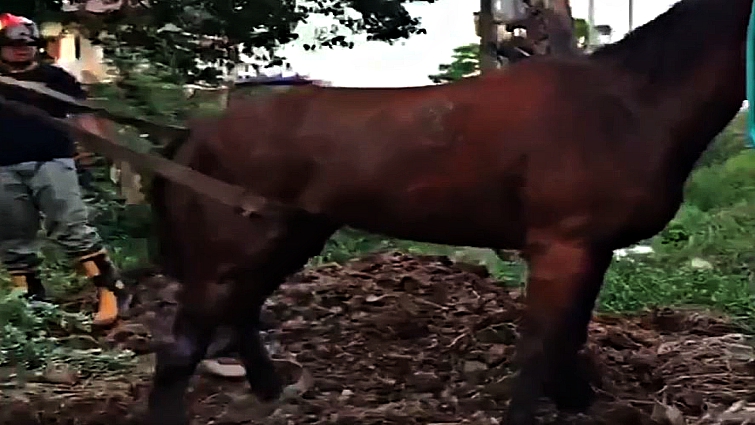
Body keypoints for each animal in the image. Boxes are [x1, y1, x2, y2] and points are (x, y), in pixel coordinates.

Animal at [144, 0, 752, 423]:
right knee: (181, 351)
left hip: (289, 236)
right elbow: (538, 347)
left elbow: (569, 336)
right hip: (231, 252)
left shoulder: (591, 250)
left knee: (242, 310)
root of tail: (195, 133)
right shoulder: (560, 247)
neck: (629, 104)